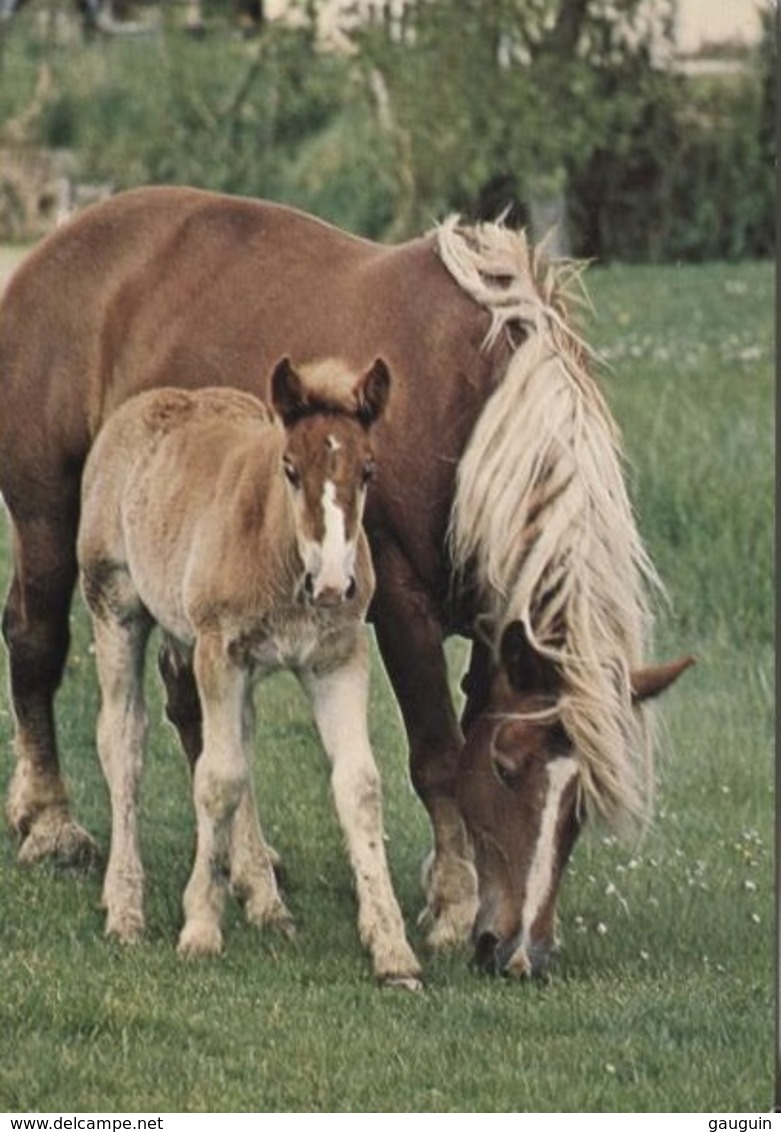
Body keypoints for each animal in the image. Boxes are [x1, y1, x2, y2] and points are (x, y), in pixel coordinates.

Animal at [78, 357, 418, 987]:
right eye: (290, 468)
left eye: (368, 470)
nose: (332, 583)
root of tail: (147, 403)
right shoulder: (220, 651)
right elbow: (219, 780)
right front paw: (200, 928)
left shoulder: (338, 659)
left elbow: (358, 784)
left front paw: (392, 949)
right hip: (114, 603)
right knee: (123, 739)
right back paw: (125, 905)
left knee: (239, 743)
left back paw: (265, 898)